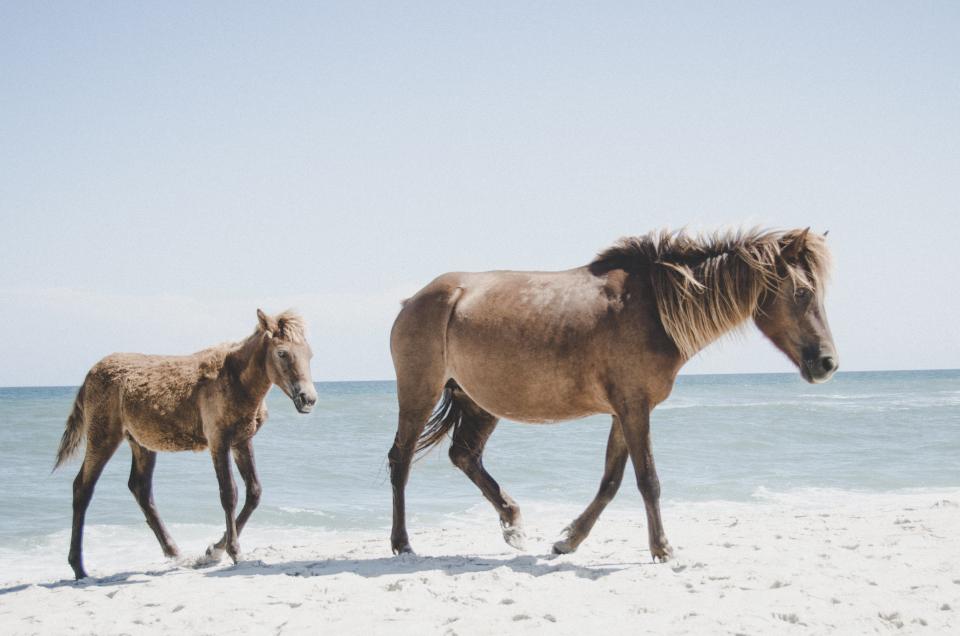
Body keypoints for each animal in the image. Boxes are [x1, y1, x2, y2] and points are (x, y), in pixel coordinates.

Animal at [54, 309, 317, 579]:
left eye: (309, 354)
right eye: (282, 353)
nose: (308, 399)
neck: (236, 379)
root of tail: (88, 377)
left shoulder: (242, 441)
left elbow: (254, 492)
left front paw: (213, 550)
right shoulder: (218, 440)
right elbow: (229, 494)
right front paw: (230, 551)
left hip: (141, 442)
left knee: (140, 488)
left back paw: (174, 552)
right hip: (103, 435)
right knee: (82, 488)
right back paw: (79, 567)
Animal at [387, 228, 837, 561]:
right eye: (801, 293)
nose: (827, 362)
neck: (653, 308)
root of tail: (415, 299)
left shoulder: (625, 411)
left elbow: (611, 481)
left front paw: (568, 540)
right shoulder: (635, 408)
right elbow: (648, 480)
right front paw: (662, 549)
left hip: (478, 402)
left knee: (464, 455)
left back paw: (513, 524)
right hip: (419, 393)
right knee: (401, 460)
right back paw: (403, 543)